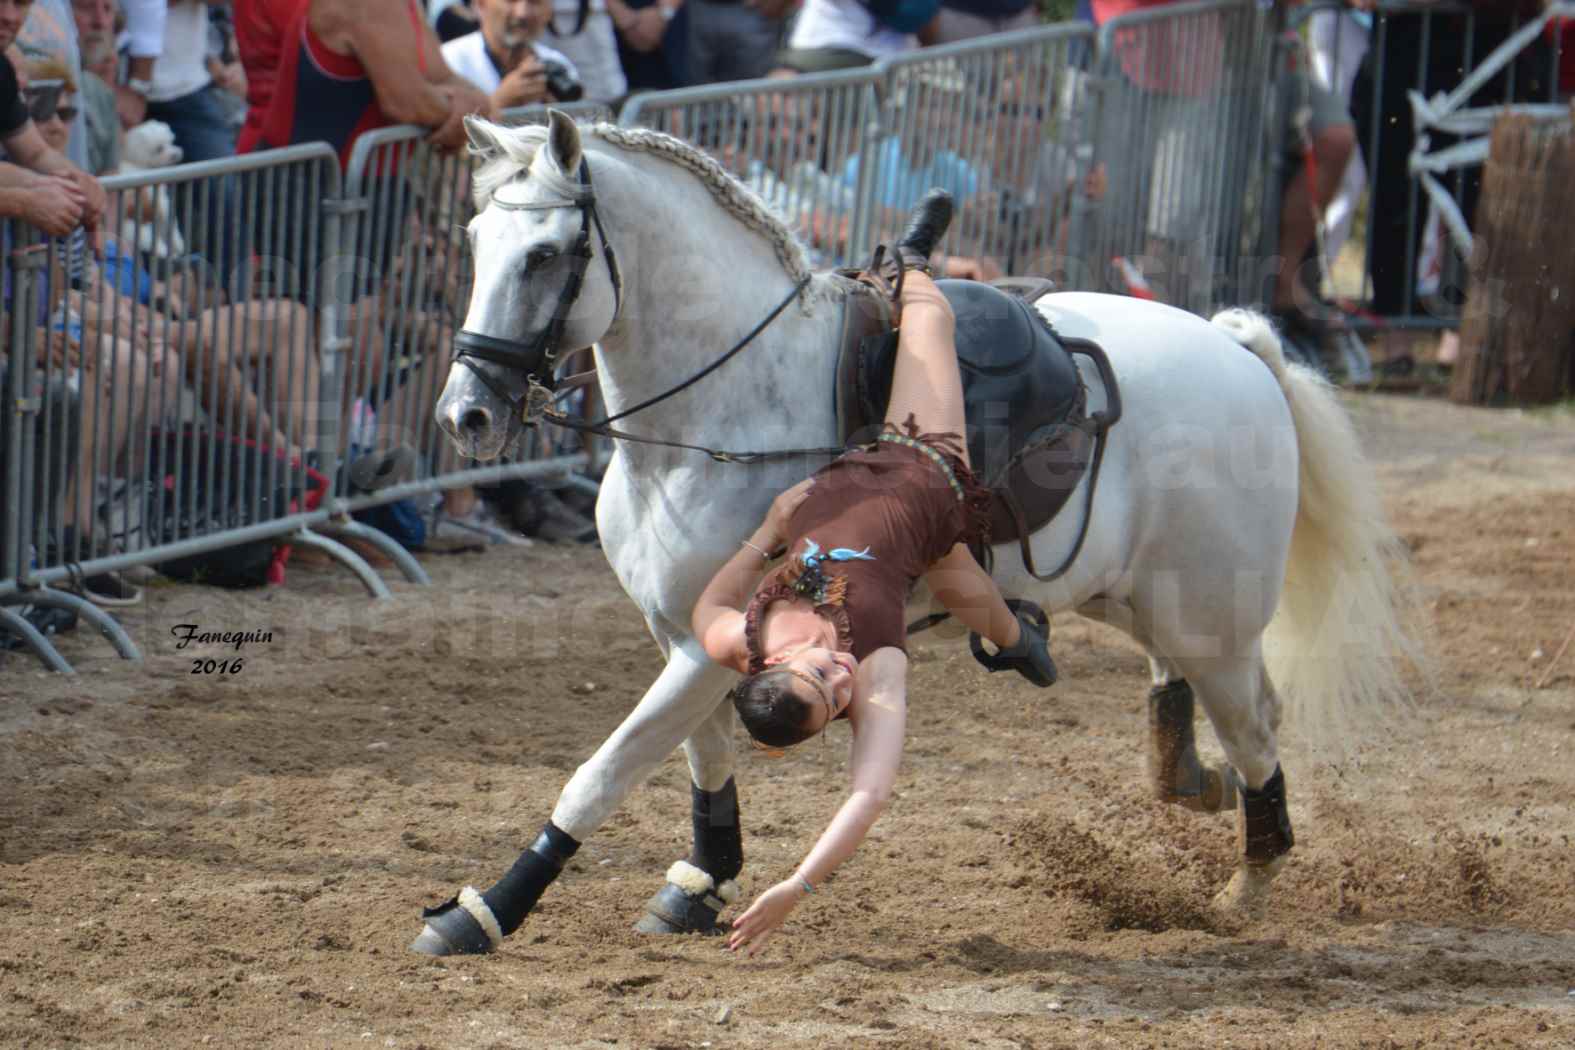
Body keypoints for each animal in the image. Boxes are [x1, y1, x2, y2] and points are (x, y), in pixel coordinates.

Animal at [117, 122, 186, 261]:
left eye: (171, 142)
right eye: (159, 149)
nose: (176, 154)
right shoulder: (160, 202)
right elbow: (170, 221)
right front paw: (178, 244)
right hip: (135, 228)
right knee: (149, 243)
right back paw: (164, 252)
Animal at [418, 110, 1417, 957]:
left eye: (547, 255)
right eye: (473, 243)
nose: (467, 415)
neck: (728, 402)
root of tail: (1240, 350)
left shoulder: (708, 643)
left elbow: (606, 770)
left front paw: (485, 912)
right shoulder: (680, 633)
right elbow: (700, 762)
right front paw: (699, 882)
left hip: (1210, 614)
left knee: (1255, 724)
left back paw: (1248, 882)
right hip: (1136, 594)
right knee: (1188, 691)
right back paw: (1186, 778)